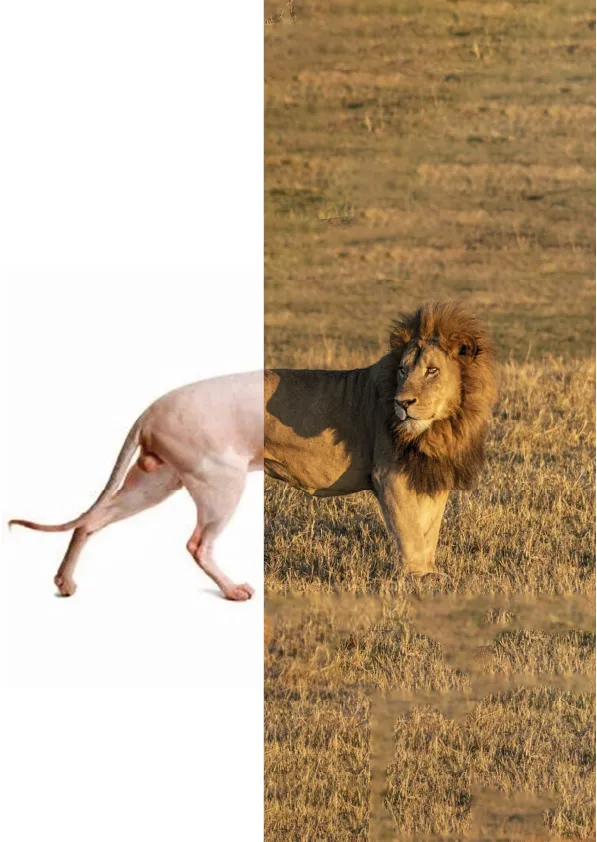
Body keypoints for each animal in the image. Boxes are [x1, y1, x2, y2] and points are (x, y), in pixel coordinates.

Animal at [264, 301, 497, 577]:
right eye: (402, 370)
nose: (402, 402)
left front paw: (430, 573)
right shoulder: (390, 477)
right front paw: (418, 576)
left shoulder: (431, 475)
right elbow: (411, 533)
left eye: (432, 370)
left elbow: (429, 530)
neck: (442, 428)